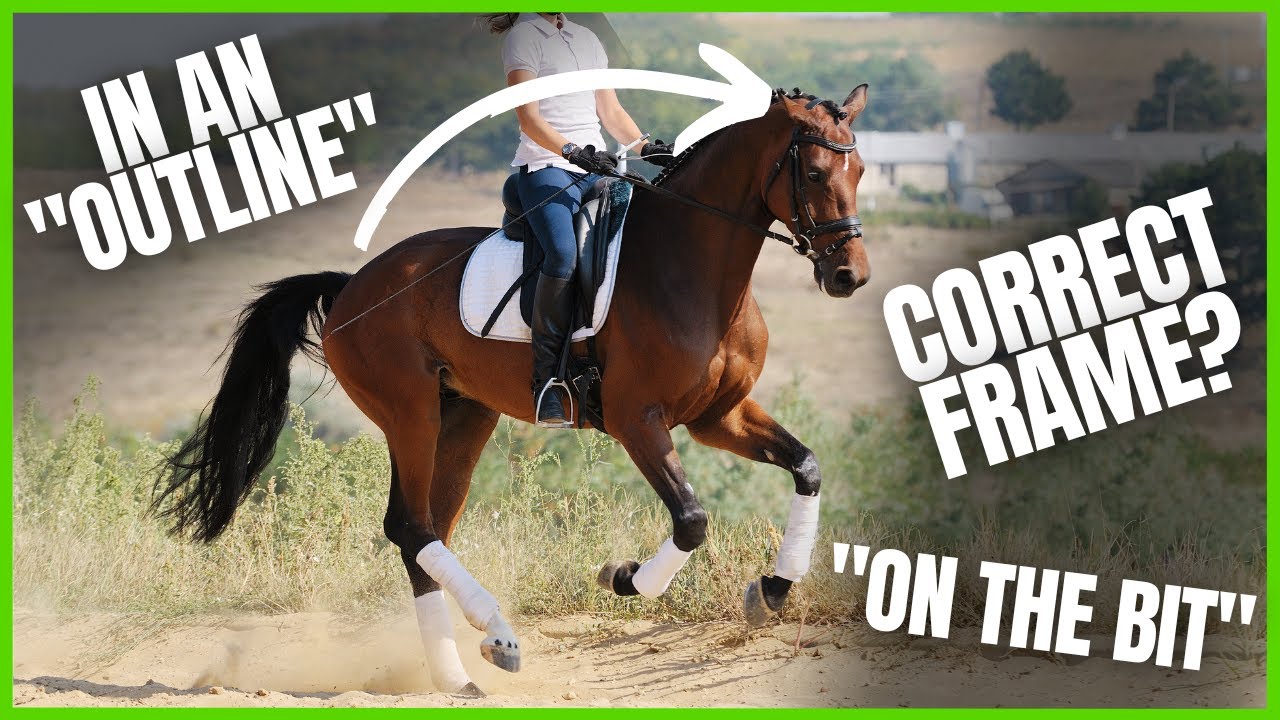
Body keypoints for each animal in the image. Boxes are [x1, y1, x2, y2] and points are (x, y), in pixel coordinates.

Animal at [155, 85, 871, 696]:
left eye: (860, 171)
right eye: (813, 174)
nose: (850, 277)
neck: (690, 267)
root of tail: (352, 284)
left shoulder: (718, 416)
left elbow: (806, 466)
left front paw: (771, 590)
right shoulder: (637, 419)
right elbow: (692, 520)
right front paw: (625, 579)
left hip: (464, 417)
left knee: (425, 533)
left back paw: (458, 673)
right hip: (409, 414)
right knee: (409, 527)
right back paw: (495, 636)